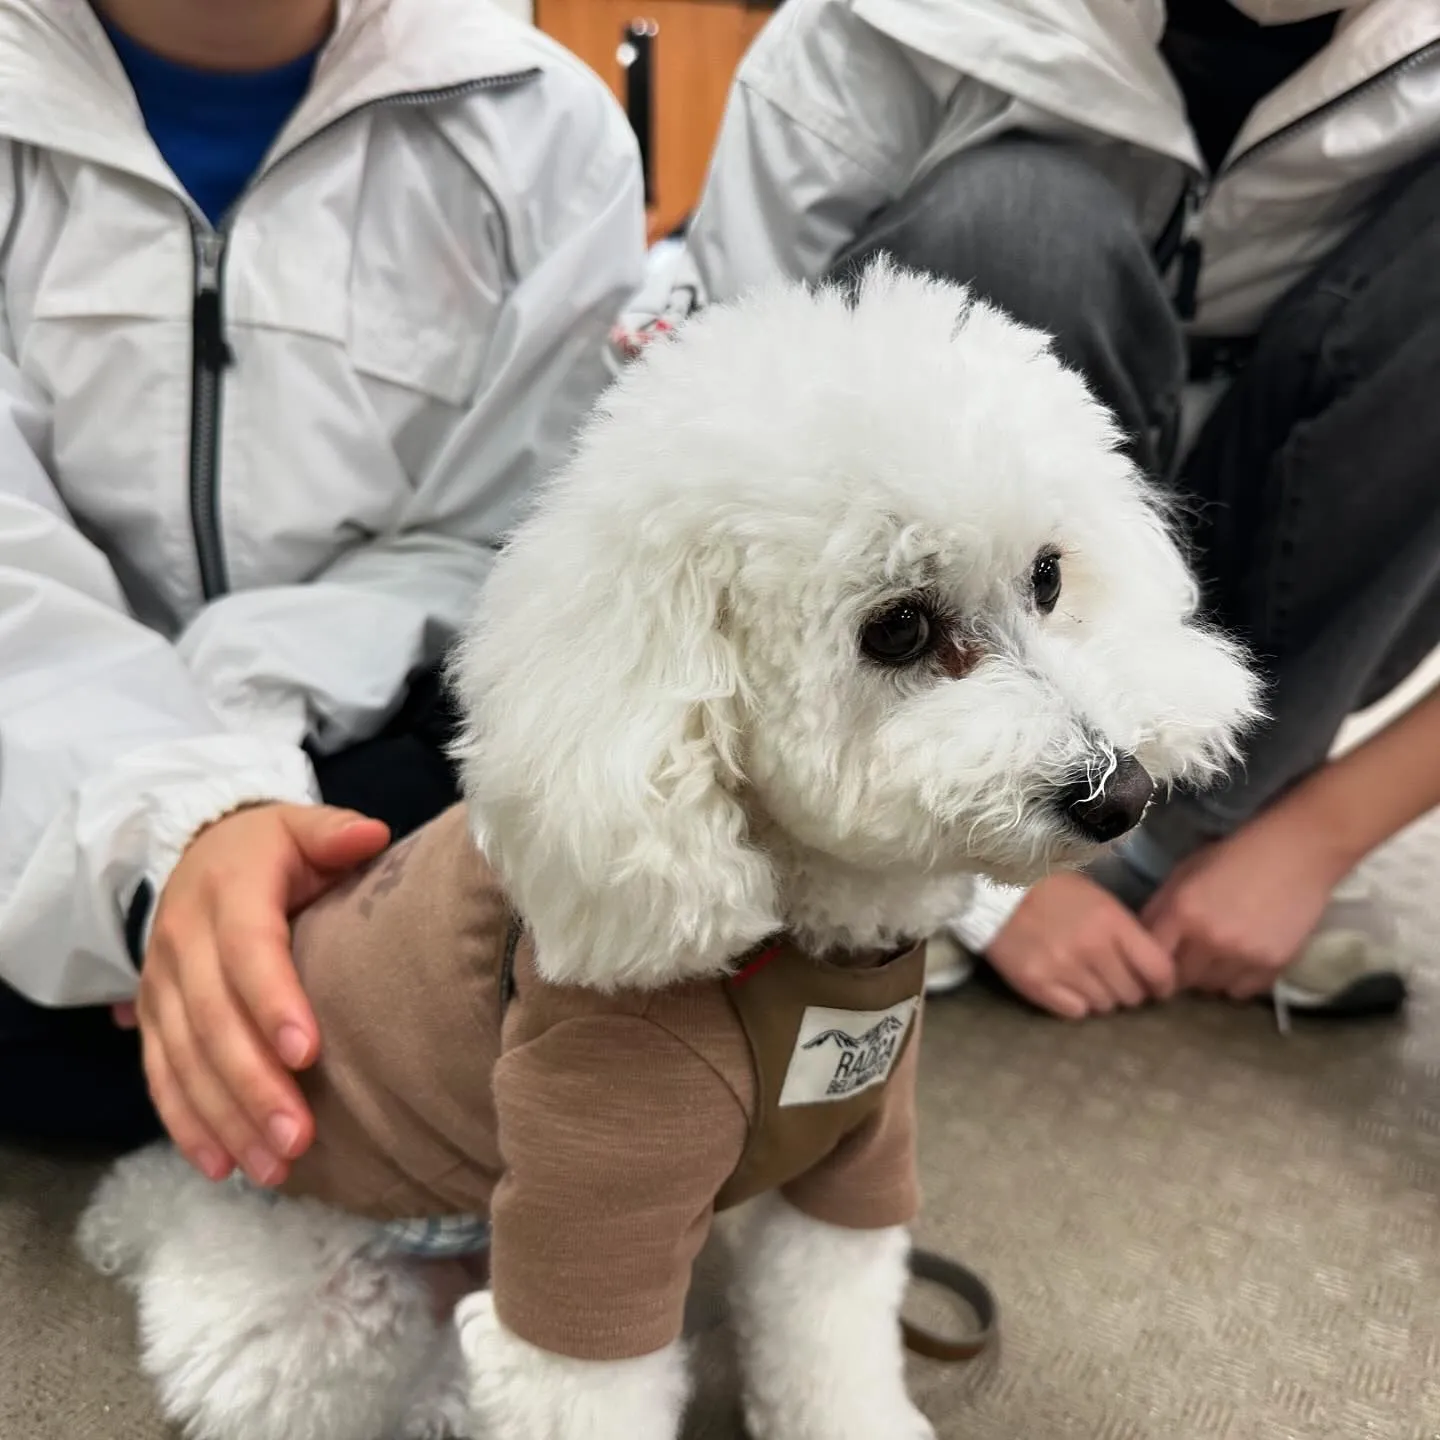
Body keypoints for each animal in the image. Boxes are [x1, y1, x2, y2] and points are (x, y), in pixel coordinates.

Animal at [78, 267, 1255, 1440]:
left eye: (1049, 577)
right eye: (899, 630)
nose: (1122, 792)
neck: (800, 943)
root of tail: (175, 1192)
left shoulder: (854, 1158)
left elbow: (832, 1340)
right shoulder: (592, 1186)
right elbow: (580, 1377)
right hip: (312, 1316)